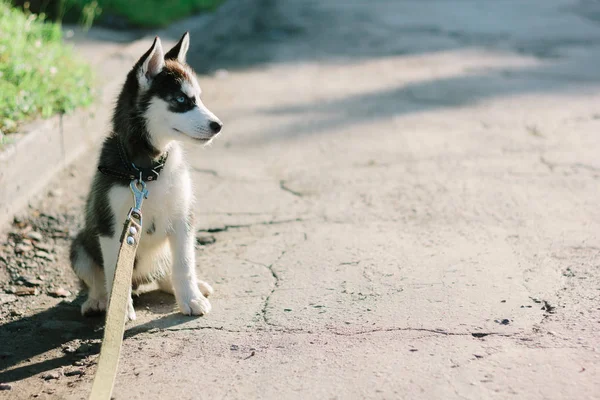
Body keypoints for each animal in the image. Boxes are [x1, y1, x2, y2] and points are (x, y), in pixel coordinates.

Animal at [69, 32, 221, 320]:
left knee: (166, 272)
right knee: (96, 279)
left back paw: (190, 286)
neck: (148, 170)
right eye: (181, 100)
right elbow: (114, 272)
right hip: (79, 244)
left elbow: (184, 264)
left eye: (199, 98)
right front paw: (119, 308)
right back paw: (97, 299)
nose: (218, 126)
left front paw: (191, 298)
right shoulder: (111, 227)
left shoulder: (183, 218)